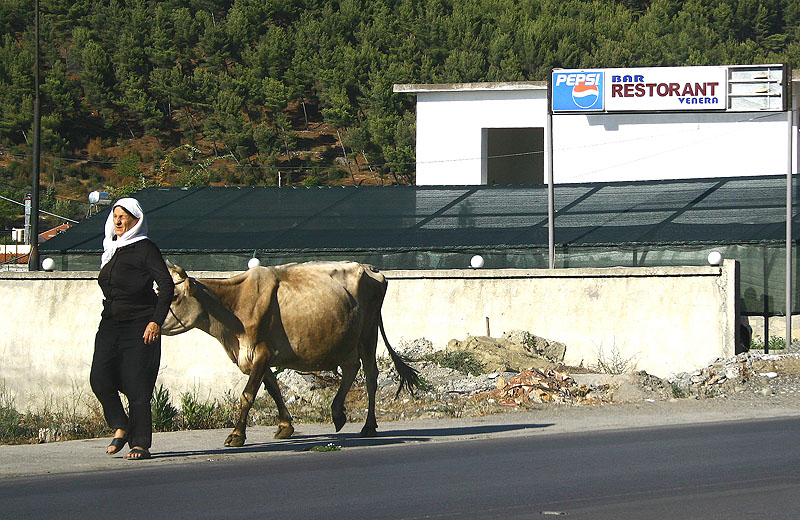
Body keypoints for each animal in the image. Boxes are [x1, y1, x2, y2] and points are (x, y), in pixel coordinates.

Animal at [161, 260, 418, 446]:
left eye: (174, 296)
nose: (156, 324)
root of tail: (371, 269)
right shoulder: (257, 356)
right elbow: (274, 389)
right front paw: (285, 426)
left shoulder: (261, 352)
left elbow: (248, 394)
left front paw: (236, 435)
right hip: (348, 338)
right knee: (350, 368)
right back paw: (337, 413)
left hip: (368, 333)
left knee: (371, 375)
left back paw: (368, 426)